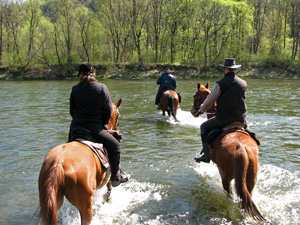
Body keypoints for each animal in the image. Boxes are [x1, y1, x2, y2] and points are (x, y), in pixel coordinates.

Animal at [191, 82, 266, 221]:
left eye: (195, 96)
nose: (193, 111)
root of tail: (241, 149)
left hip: (226, 179)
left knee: (231, 197)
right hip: (250, 181)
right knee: (245, 201)